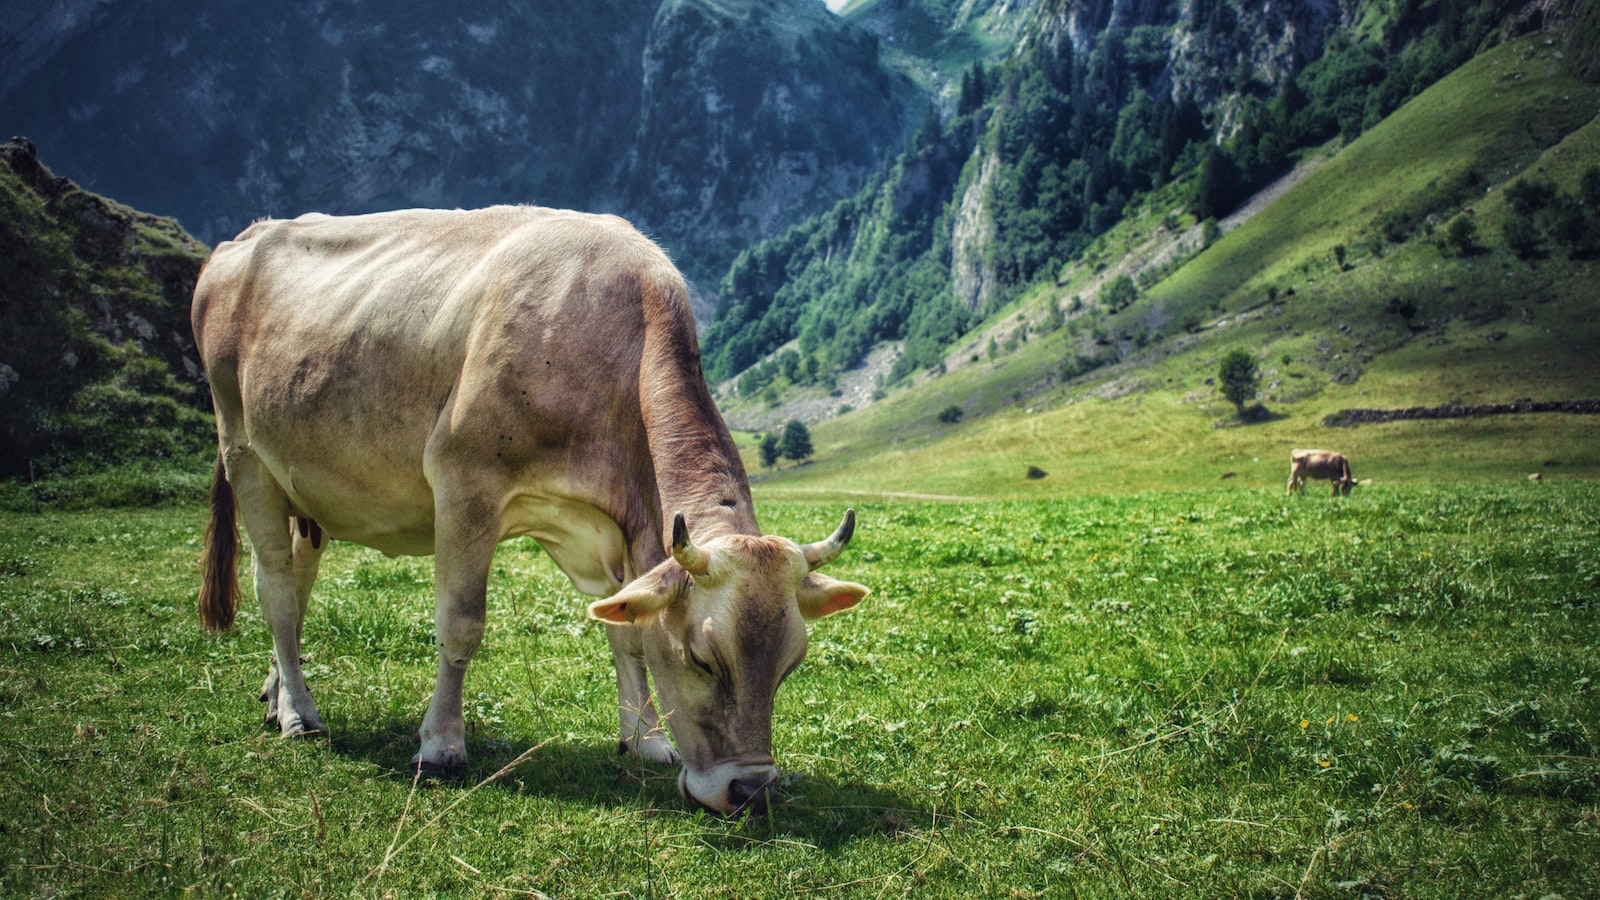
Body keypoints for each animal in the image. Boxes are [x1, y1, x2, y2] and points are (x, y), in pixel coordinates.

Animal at [192, 204, 870, 813]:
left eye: (790, 664)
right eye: (703, 659)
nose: (751, 791)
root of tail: (240, 239)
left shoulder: (608, 532)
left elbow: (627, 634)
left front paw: (646, 740)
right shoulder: (465, 486)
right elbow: (461, 624)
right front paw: (440, 746)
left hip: (305, 485)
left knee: (300, 576)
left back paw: (275, 689)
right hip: (243, 449)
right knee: (276, 585)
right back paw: (298, 712)